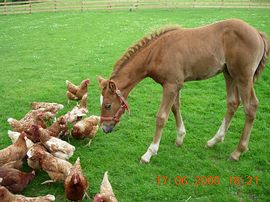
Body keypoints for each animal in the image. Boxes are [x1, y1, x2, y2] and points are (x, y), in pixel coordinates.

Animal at [98, 19, 268, 163]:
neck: (157, 53)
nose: (104, 128)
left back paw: (237, 151)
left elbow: (161, 117)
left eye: (107, 105)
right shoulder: (176, 84)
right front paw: (180, 138)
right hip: (229, 74)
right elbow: (175, 108)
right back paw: (214, 141)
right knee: (233, 103)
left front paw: (149, 153)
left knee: (251, 106)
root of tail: (257, 32)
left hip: (243, 77)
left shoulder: (171, 85)